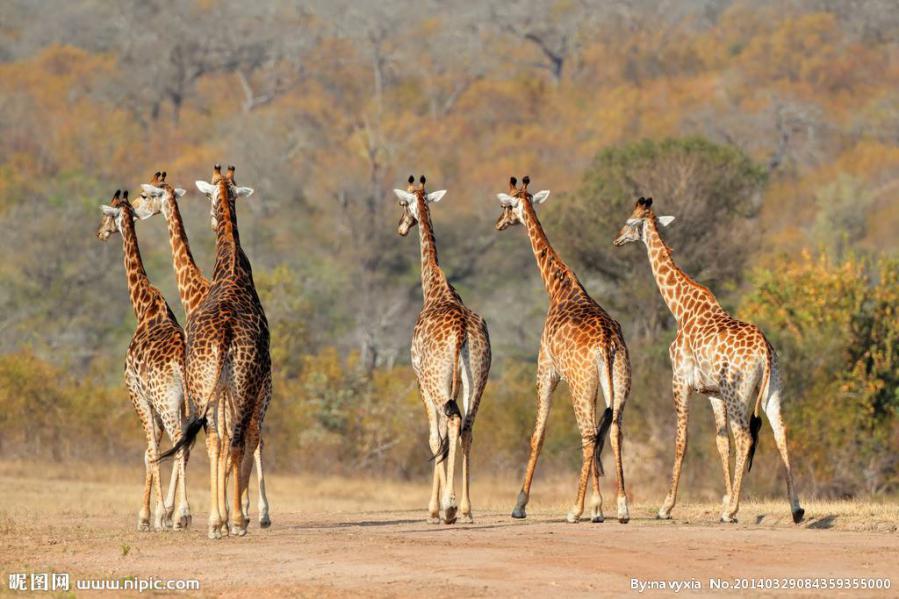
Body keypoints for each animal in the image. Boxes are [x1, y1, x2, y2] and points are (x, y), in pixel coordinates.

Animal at [95, 190, 192, 532]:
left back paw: (181, 514)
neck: (144, 306)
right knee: (186, 443)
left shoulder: (137, 394)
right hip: (192, 401)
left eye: (107, 215)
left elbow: (150, 451)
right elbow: (154, 450)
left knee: (177, 442)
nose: (99, 233)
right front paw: (154, 513)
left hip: (166, 401)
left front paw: (151, 517)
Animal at [132, 171, 268, 528]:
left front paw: (175, 513)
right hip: (249, 385)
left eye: (146, 195)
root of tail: (227, 332)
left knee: (213, 439)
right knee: (248, 435)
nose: (135, 211)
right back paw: (249, 514)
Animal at [394, 175, 492, 524]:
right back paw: (466, 509)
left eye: (402, 203)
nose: (401, 227)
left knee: (451, 423)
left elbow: (434, 437)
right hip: (478, 376)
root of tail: (461, 331)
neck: (436, 289)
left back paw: (448, 508)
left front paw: (433, 510)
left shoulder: (420, 380)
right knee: (468, 426)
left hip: (437, 381)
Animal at [492, 176, 632, 524]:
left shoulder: (547, 370)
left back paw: (575, 510)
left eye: (504, 206)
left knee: (588, 435)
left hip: (580, 385)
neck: (558, 289)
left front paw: (520, 505)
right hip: (617, 380)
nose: (499, 223)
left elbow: (537, 434)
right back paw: (621, 507)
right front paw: (599, 507)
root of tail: (607, 343)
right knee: (613, 431)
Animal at [616, 198, 804, 524]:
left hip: (737, 392)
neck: (681, 308)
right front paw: (724, 499)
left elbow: (682, 440)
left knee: (745, 437)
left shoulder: (680, 380)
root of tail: (765, 352)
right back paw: (796, 509)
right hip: (771, 390)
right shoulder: (712, 393)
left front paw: (667, 507)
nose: (616, 239)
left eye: (629, 222)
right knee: (780, 432)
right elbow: (720, 442)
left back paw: (733, 512)